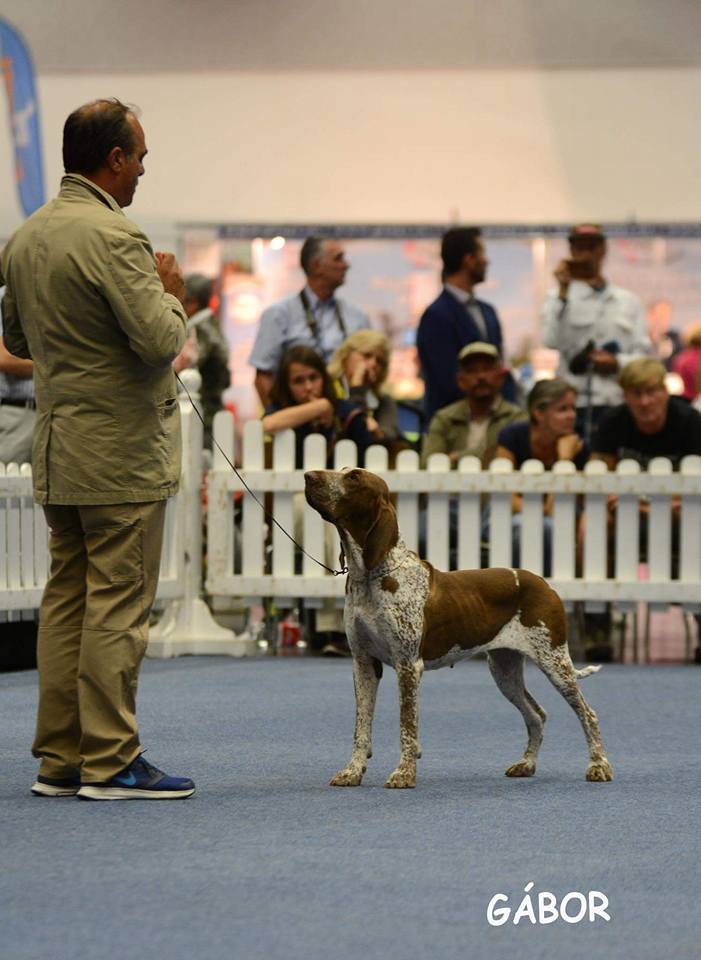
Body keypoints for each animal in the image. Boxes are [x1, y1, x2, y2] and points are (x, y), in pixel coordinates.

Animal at [304, 464, 612, 788]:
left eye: (353, 478)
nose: (308, 475)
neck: (370, 576)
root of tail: (544, 584)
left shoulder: (408, 665)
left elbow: (407, 726)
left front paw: (404, 773)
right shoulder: (363, 663)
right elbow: (361, 728)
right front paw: (352, 771)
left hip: (554, 661)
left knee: (588, 714)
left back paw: (599, 766)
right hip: (504, 668)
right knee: (536, 714)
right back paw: (526, 764)